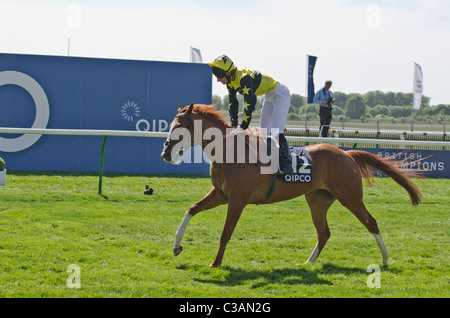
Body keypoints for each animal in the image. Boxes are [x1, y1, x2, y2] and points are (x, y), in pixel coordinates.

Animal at [162, 103, 422, 268]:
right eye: (170, 126)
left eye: (179, 127)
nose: (165, 153)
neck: (230, 152)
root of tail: (347, 154)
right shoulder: (220, 194)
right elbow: (191, 210)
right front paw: (176, 246)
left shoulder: (237, 199)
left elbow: (226, 233)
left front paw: (215, 263)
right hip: (317, 200)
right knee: (324, 232)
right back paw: (309, 261)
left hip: (351, 197)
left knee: (371, 222)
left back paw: (386, 258)